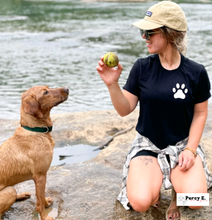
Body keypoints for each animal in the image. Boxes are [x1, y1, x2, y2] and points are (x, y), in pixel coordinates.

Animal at [0, 85, 68, 220]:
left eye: (48, 87)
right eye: (45, 92)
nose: (67, 89)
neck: (36, 130)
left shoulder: (41, 177)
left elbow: (41, 197)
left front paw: (46, 203)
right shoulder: (40, 176)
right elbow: (39, 202)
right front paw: (45, 217)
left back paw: (21, 195)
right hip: (9, 190)